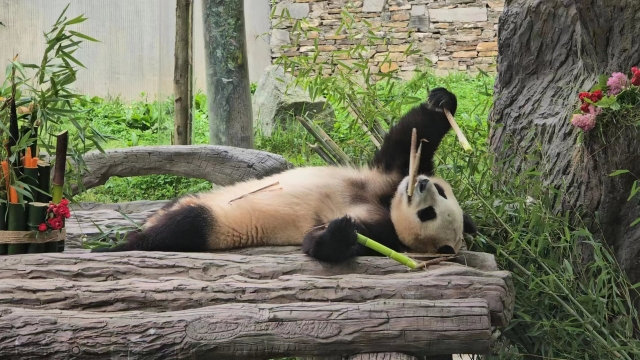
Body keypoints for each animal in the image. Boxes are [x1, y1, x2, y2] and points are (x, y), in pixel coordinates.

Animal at [92, 87, 478, 262]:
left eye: (429, 213)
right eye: (441, 193)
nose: (422, 185)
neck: (385, 200)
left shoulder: (385, 227)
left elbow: (334, 241)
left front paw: (338, 232)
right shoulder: (388, 177)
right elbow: (410, 139)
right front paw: (442, 102)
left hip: (216, 224)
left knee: (183, 227)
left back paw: (121, 242)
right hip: (193, 196)